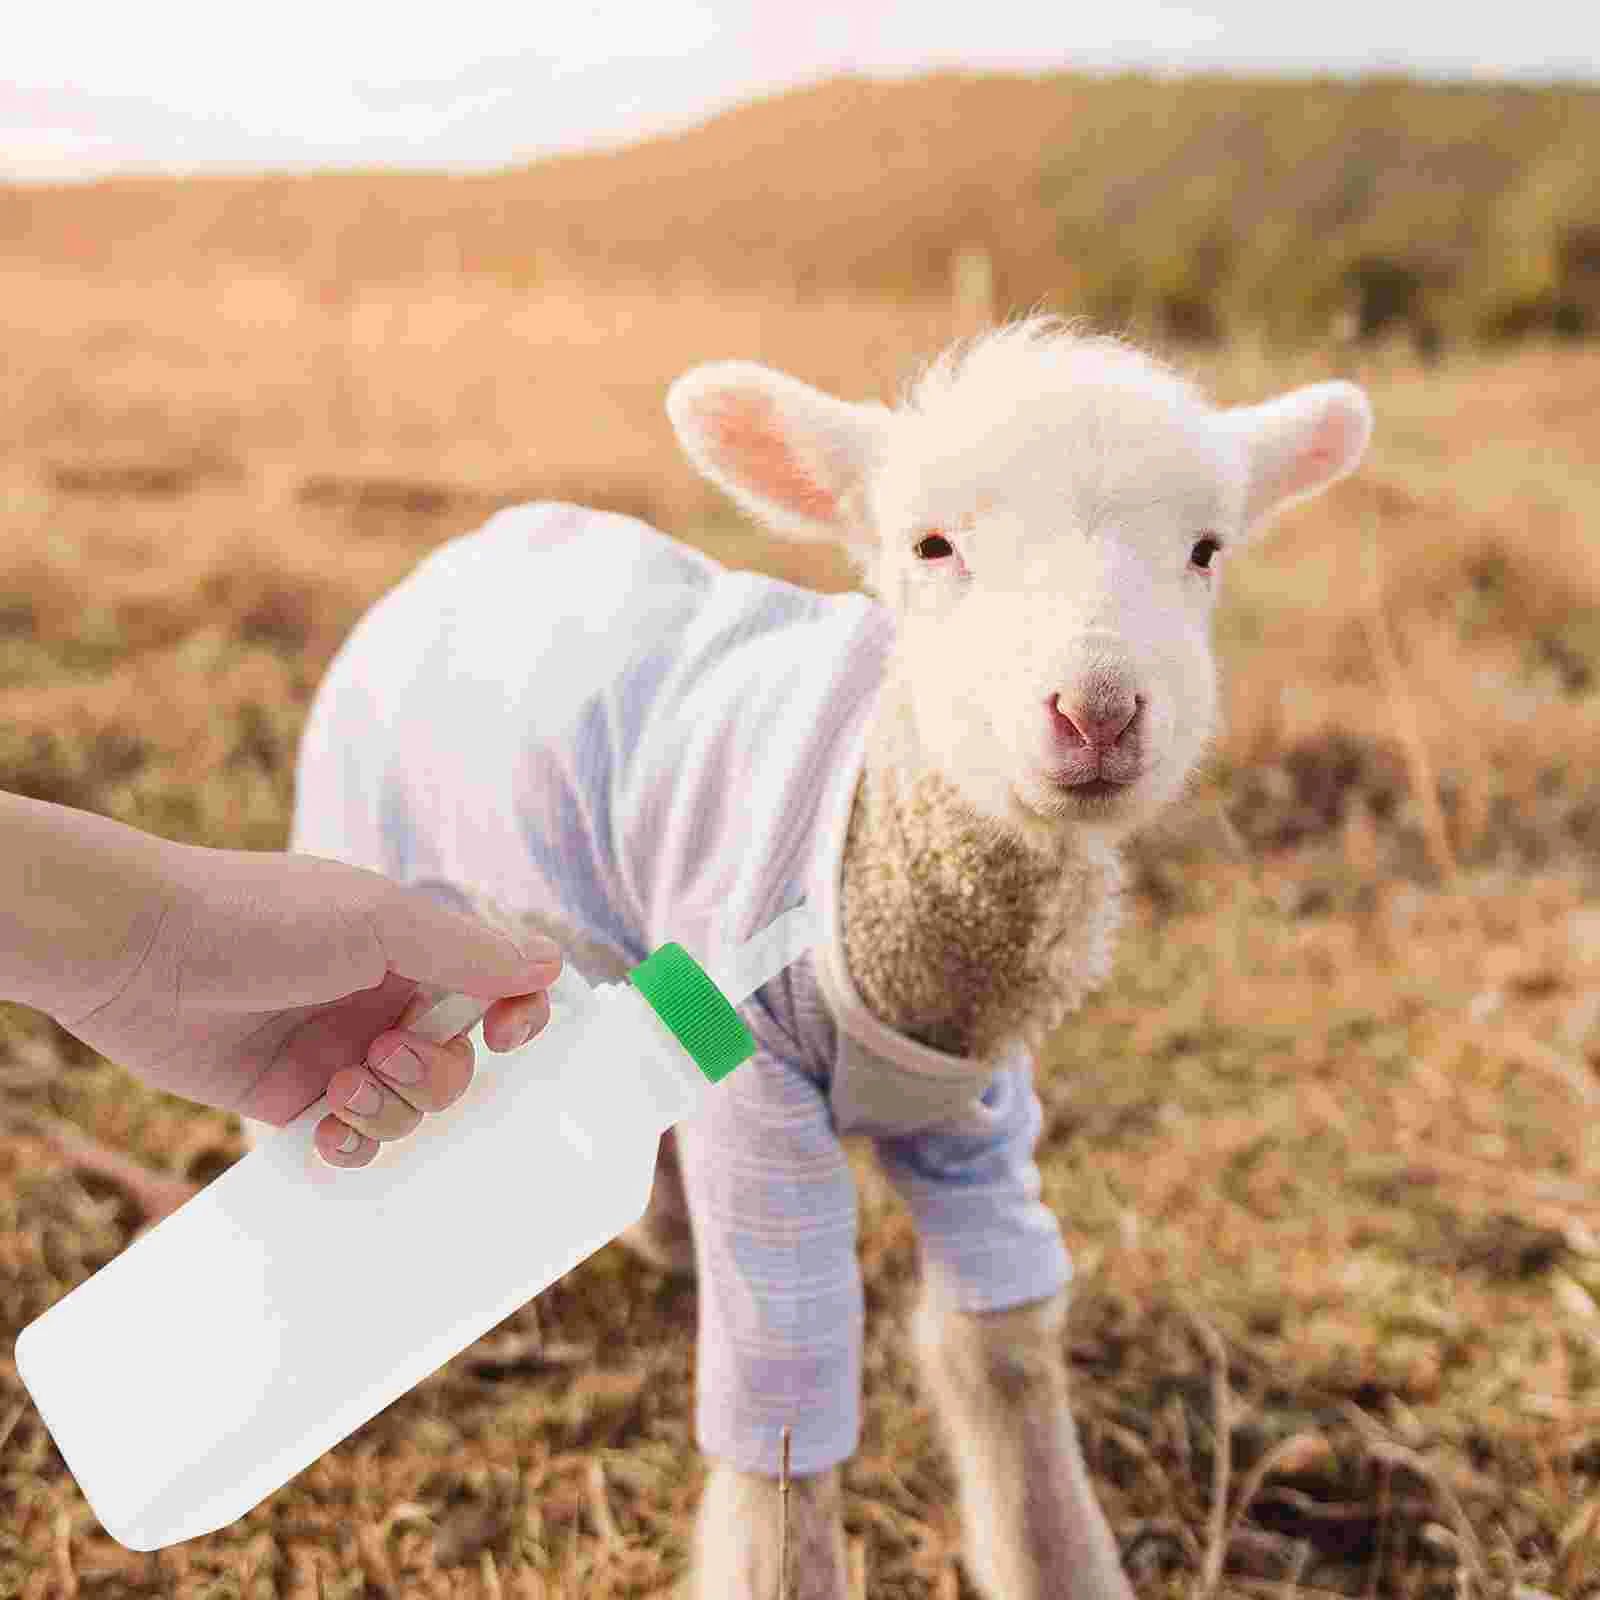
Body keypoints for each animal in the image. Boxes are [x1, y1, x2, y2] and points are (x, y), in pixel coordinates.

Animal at [244, 314, 1368, 1597]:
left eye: (1204, 550)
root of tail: (463, 548)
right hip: (363, 857)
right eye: (930, 545)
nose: (1096, 714)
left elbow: (1002, 1344)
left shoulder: (980, 1107)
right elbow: (783, 1399)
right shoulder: (762, 1107)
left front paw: (1054, 1557)